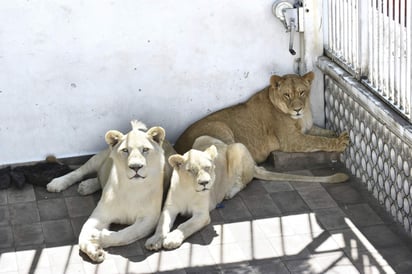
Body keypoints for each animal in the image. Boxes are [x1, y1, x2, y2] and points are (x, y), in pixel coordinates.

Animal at [47, 121, 174, 262]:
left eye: (145, 149)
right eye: (125, 150)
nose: (135, 167)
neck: (132, 187)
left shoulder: (149, 219)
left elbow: (126, 234)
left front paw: (97, 237)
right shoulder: (100, 214)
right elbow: (82, 234)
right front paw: (94, 251)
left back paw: (86, 186)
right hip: (98, 158)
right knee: (79, 172)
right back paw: (59, 183)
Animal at [145, 135, 348, 250]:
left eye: (208, 168)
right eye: (191, 171)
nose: (205, 183)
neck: (189, 189)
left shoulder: (202, 215)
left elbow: (184, 226)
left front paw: (171, 240)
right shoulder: (169, 208)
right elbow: (162, 225)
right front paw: (154, 241)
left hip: (238, 148)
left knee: (245, 181)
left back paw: (229, 192)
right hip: (201, 138)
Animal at [174, 71, 348, 164]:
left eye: (301, 92)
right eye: (287, 95)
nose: (297, 109)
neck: (301, 116)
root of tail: (177, 145)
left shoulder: (308, 128)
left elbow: (321, 132)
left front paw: (335, 133)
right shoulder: (292, 140)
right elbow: (317, 141)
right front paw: (340, 142)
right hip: (220, 127)